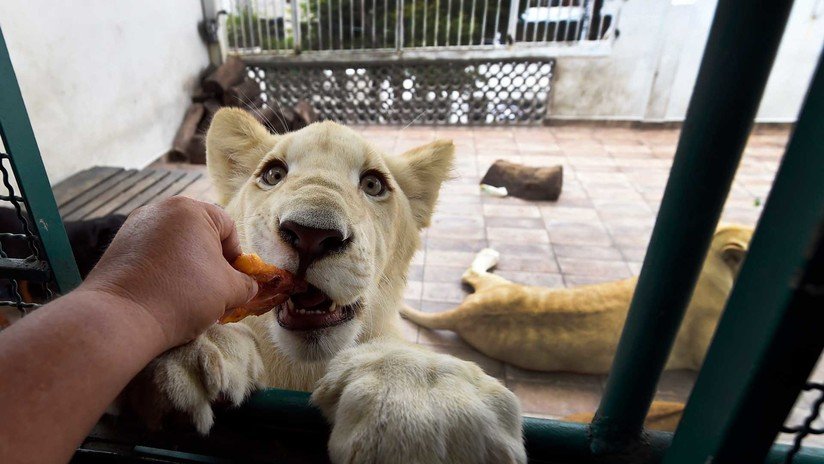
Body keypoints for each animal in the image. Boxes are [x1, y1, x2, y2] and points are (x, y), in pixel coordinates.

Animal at [123, 108, 526, 463]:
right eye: (273, 174)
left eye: (373, 184)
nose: (311, 234)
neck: (302, 370)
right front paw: (192, 352)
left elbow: (400, 353)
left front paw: (423, 407)